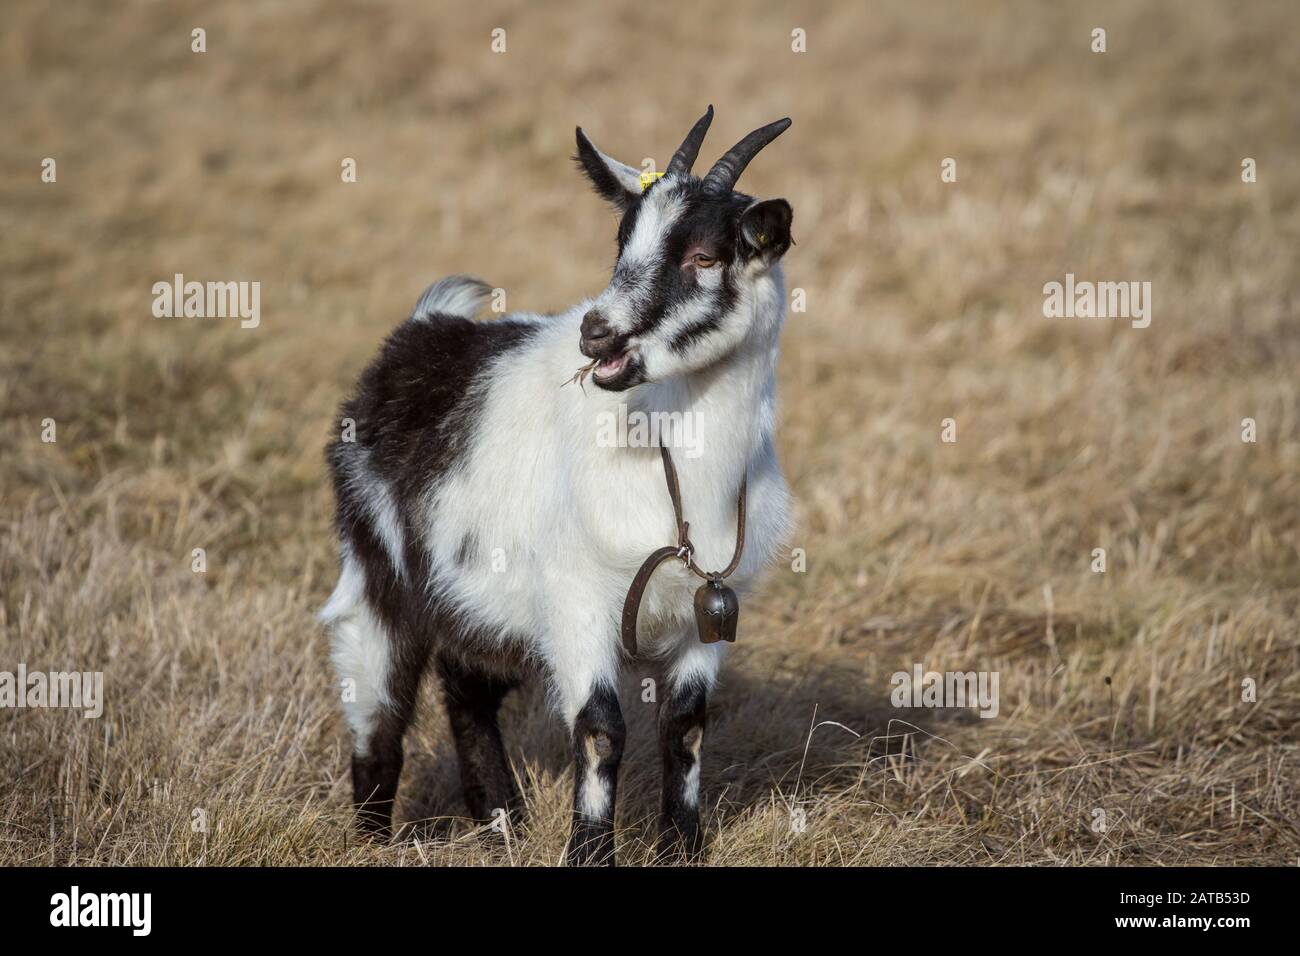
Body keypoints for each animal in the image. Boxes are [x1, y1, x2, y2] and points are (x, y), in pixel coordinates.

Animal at [319, 106, 795, 868]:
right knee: (377, 713)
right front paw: (590, 853)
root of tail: (422, 331)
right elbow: (601, 727)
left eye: (705, 257)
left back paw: (501, 822)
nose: (597, 334)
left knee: (468, 690)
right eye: (621, 243)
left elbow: (686, 726)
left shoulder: (706, 613)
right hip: (375, 575)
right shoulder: (577, 599)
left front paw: (683, 848)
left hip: (483, 591)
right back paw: (372, 839)